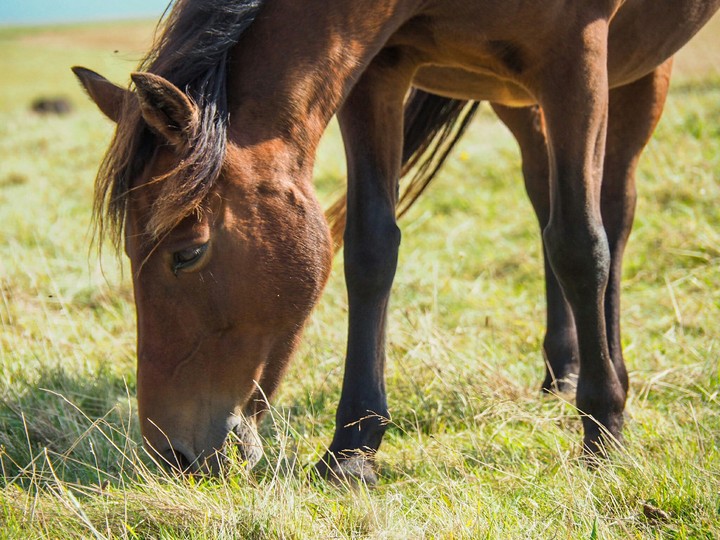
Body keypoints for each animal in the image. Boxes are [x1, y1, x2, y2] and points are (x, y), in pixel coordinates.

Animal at [73, 0, 720, 483]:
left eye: (188, 253)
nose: (170, 455)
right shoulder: (379, 66)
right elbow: (370, 249)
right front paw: (351, 449)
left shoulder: (577, 57)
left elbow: (582, 247)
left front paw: (604, 432)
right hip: (518, 97)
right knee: (545, 201)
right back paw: (562, 371)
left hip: (633, 72)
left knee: (610, 215)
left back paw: (609, 377)